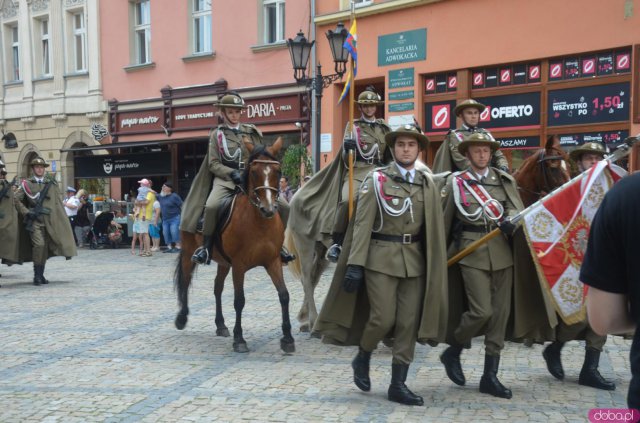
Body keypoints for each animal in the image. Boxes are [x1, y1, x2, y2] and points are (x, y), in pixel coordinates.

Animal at [174, 139, 296, 354]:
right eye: (254, 171)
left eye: (278, 171)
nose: (268, 209)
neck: (259, 222)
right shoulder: (239, 265)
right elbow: (239, 300)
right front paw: (239, 339)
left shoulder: (273, 262)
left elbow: (284, 295)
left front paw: (288, 338)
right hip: (189, 252)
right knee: (186, 281)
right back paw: (182, 318)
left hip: (224, 263)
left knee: (217, 288)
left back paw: (221, 325)